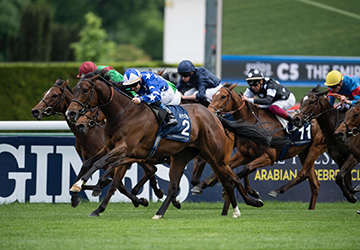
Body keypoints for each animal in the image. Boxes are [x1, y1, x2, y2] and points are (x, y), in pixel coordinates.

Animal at [31, 77, 163, 208]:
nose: (35, 111)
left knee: (150, 169)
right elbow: (84, 171)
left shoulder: (113, 157)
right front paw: (75, 196)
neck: (90, 133)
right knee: (151, 169)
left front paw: (139, 200)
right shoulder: (89, 156)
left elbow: (119, 185)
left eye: (54, 95)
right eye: (45, 93)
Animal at [64, 73, 282, 219]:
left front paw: (83, 187)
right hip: (186, 156)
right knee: (179, 186)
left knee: (230, 180)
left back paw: (239, 208)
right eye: (74, 89)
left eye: (85, 90)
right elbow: (96, 167)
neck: (124, 114)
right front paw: (83, 198)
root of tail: (215, 117)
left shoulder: (125, 149)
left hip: (216, 157)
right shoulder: (114, 149)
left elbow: (101, 166)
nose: (72, 114)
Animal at [193, 83, 328, 210]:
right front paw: (201, 185)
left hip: (316, 148)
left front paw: (248, 192)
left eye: (223, 96)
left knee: (303, 174)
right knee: (314, 184)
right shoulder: (244, 154)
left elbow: (246, 169)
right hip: (304, 152)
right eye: (213, 96)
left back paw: (276, 191)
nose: (209, 112)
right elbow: (231, 168)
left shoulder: (269, 157)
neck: (253, 123)